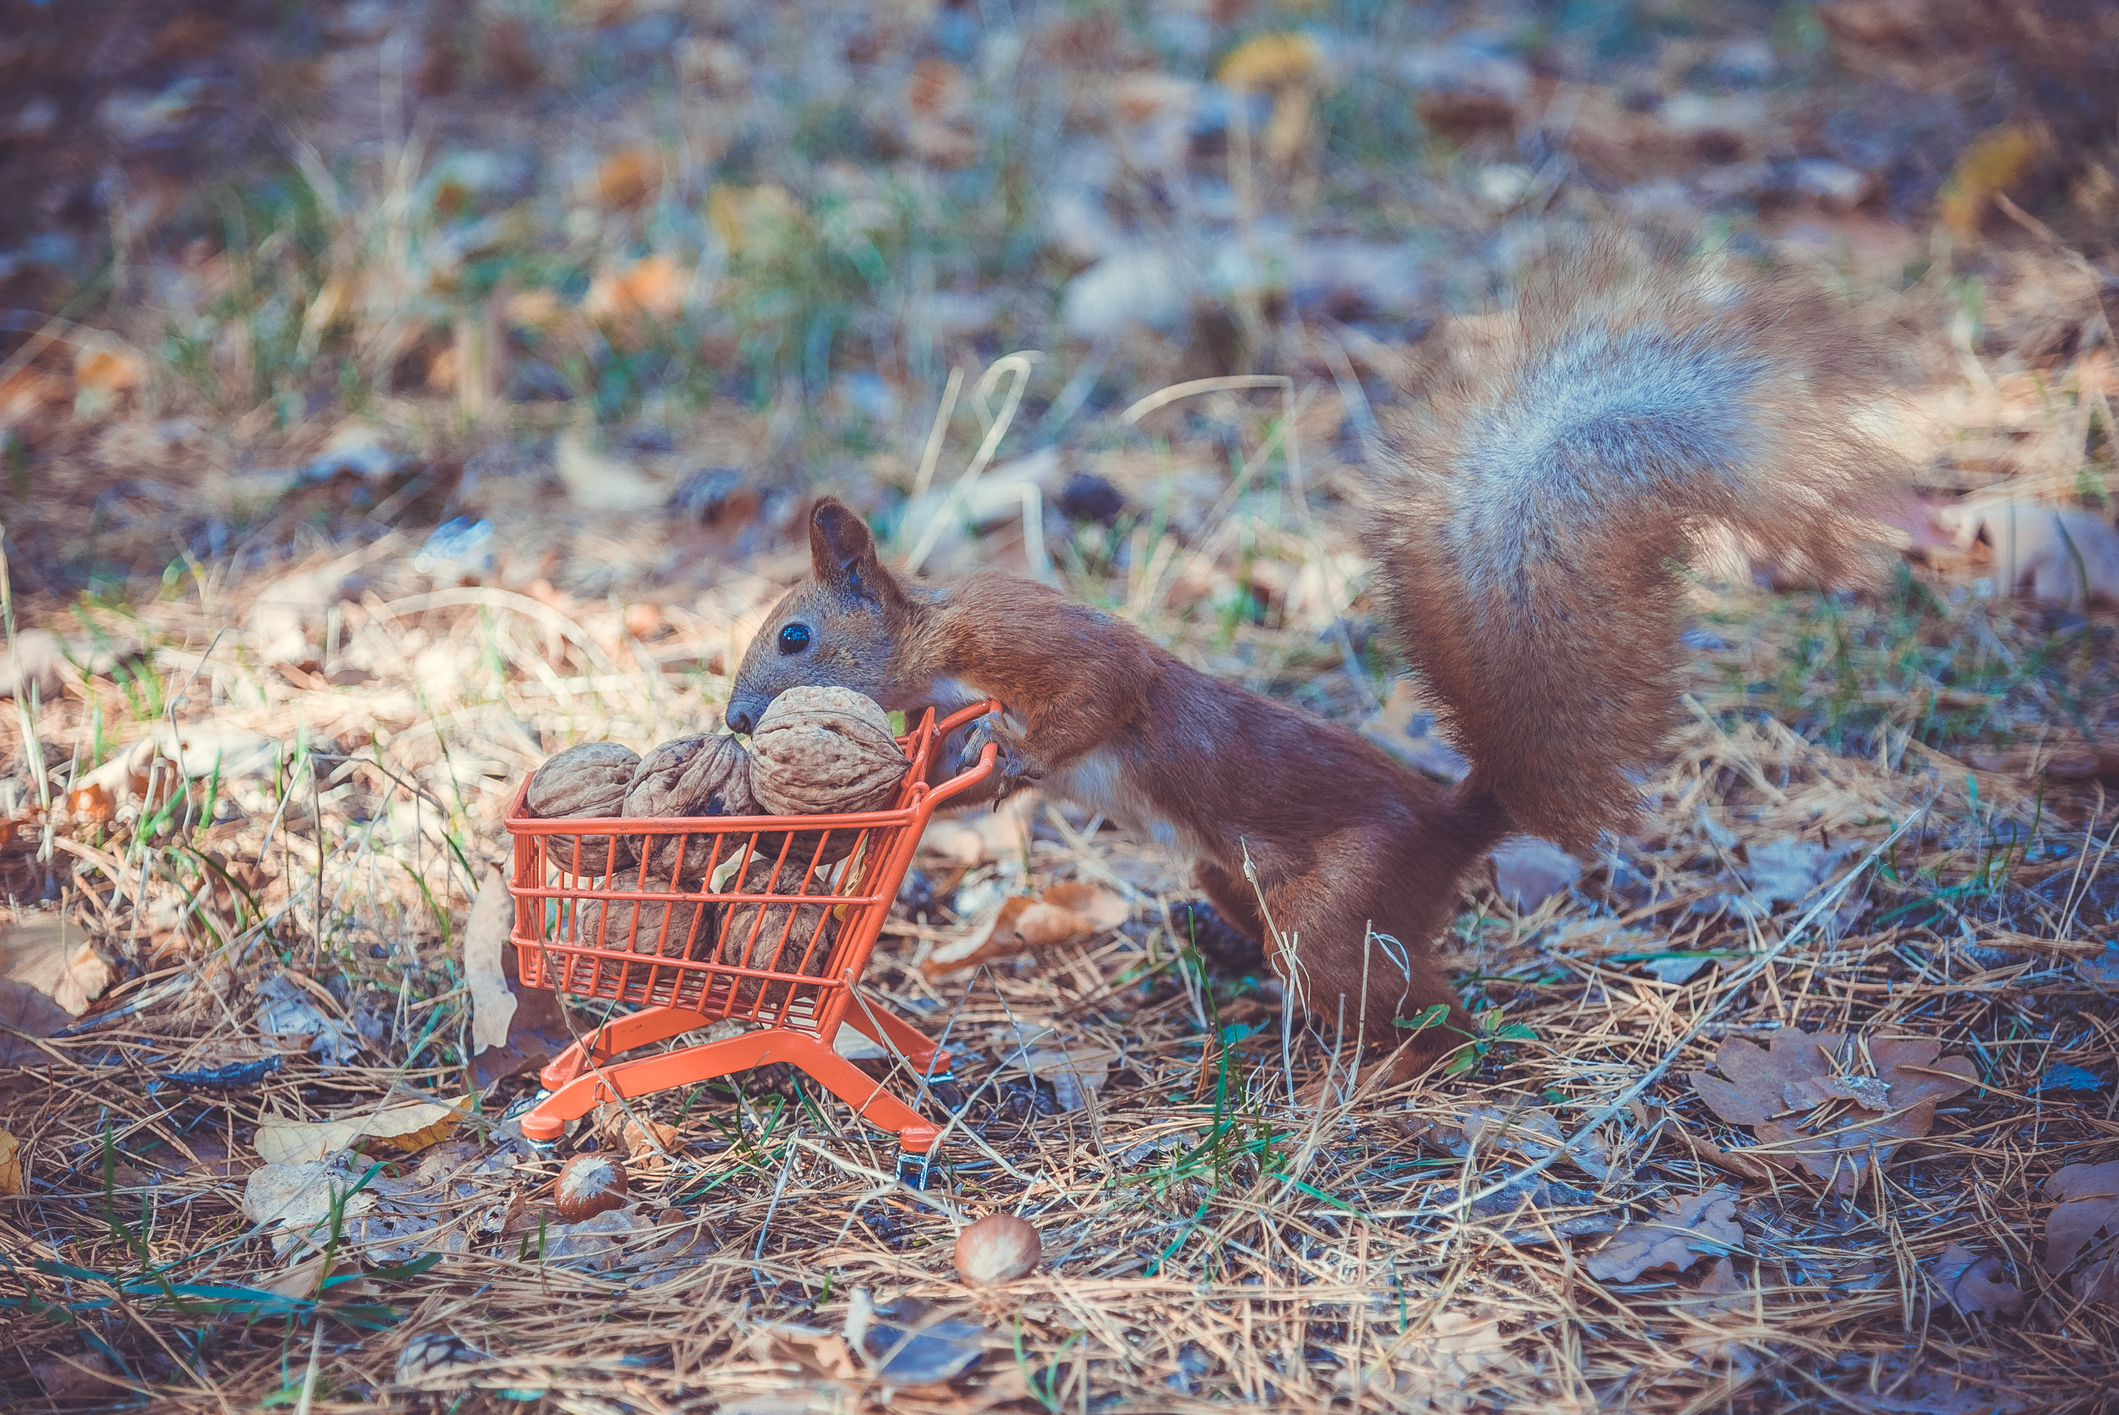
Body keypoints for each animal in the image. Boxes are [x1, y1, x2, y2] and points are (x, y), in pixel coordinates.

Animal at [725, 236, 1899, 1076]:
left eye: (793, 635)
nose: (736, 721)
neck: (933, 645)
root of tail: (1447, 827)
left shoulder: (1029, 634)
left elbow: (1102, 693)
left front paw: (1016, 751)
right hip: (1232, 871)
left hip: (1338, 909)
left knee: (1428, 1011)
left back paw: (1383, 1072)